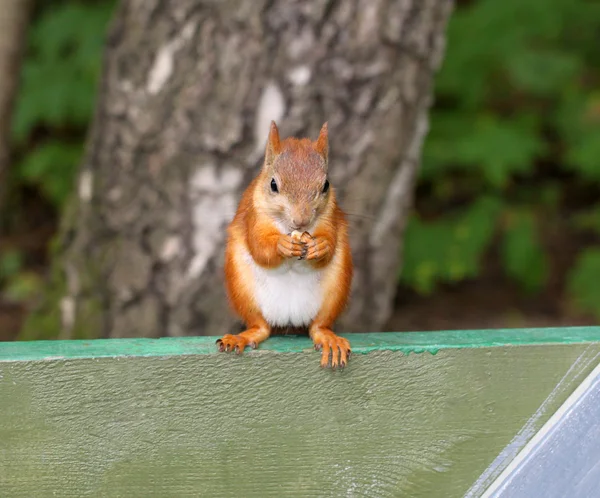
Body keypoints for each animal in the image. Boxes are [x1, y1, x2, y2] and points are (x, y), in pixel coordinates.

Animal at [218, 121, 354, 368]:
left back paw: (329, 339)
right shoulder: (254, 217)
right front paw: (283, 246)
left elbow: (329, 243)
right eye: (273, 184)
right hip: (242, 290)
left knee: (318, 327)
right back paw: (241, 337)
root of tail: (289, 319)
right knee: (260, 327)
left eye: (326, 185)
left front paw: (320, 246)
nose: (301, 221)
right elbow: (260, 248)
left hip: (336, 290)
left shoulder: (330, 218)